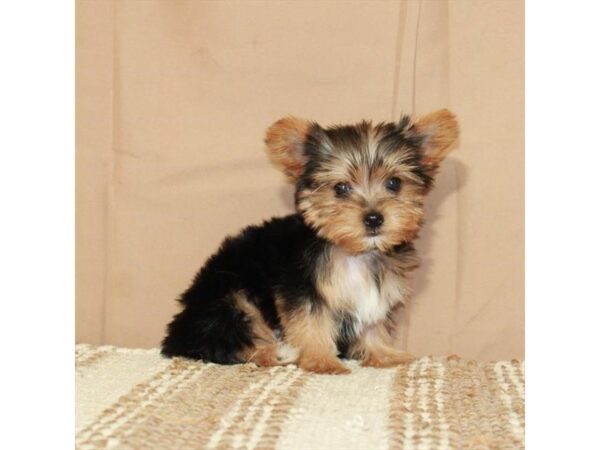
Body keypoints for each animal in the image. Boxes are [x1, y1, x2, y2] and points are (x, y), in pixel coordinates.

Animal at [161, 110, 460, 376]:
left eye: (395, 183)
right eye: (340, 188)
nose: (374, 218)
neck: (355, 252)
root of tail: (179, 329)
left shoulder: (379, 290)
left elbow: (373, 322)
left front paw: (383, 354)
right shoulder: (300, 287)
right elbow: (311, 322)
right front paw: (322, 361)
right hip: (228, 297)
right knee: (230, 338)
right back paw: (276, 352)